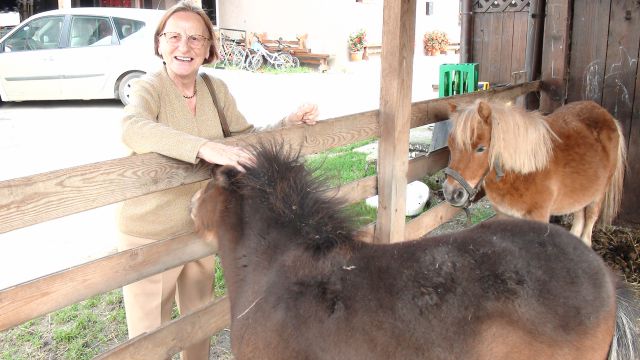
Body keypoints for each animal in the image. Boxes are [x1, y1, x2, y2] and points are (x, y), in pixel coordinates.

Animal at [442, 99, 628, 245]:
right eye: (450, 145)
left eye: (481, 148)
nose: (451, 193)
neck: (524, 173)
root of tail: (607, 116)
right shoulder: (504, 215)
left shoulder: (539, 217)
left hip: (599, 194)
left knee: (590, 219)